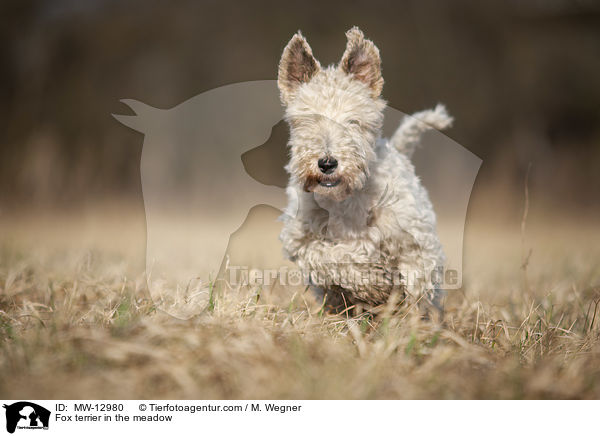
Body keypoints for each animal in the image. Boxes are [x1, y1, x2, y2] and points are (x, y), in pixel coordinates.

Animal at [278, 27, 452, 312]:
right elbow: (329, 257)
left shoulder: (415, 241)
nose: (327, 163)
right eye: (307, 120)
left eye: (353, 121)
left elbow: (416, 280)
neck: (344, 199)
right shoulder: (299, 239)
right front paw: (371, 283)